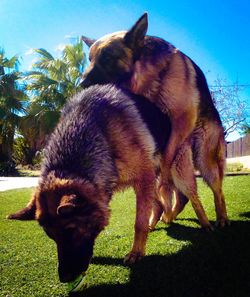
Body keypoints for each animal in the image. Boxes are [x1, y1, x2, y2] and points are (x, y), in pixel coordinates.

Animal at [8, 83, 175, 280]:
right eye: (51, 236)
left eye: (71, 230)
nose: (64, 278)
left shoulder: (143, 178)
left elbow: (139, 223)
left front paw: (136, 253)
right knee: (158, 203)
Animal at [81, 12, 229, 228]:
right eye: (90, 59)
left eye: (107, 58)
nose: (81, 84)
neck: (147, 75)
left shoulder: (180, 121)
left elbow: (165, 165)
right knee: (181, 195)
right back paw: (166, 216)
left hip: (205, 158)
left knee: (217, 190)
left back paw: (221, 218)